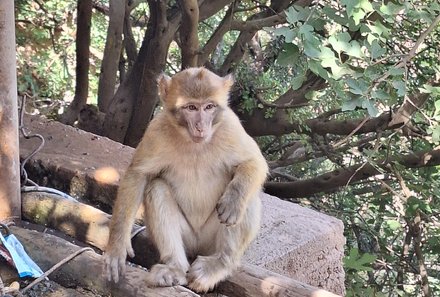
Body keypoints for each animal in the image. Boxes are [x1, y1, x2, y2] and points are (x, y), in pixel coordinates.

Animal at [104, 67, 268, 292]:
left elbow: (254, 162)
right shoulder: (156, 130)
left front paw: (233, 201)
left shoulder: (230, 127)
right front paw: (117, 248)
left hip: (210, 242)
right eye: (191, 107)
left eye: (209, 107)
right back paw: (175, 268)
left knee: (247, 200)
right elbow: (138, 175)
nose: (200, 126)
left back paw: (219, 264)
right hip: (189, 240)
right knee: (157, 188)